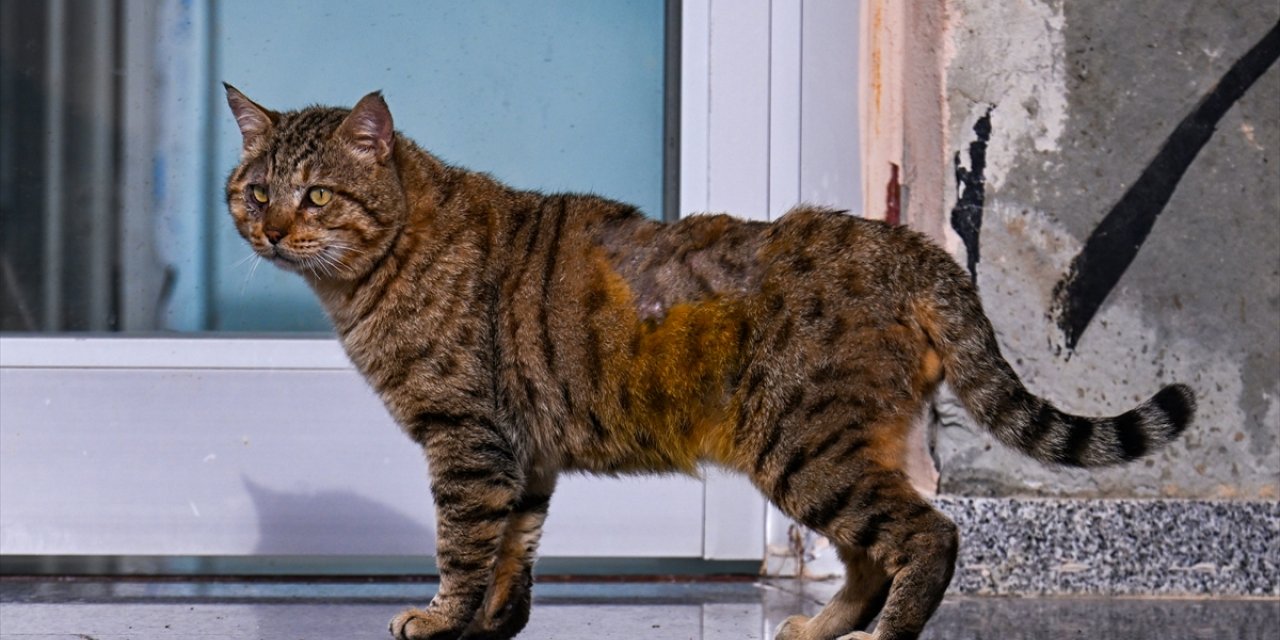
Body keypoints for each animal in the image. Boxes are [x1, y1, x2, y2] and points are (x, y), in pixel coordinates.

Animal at [225, 86, 1192, 640]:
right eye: (254, 191)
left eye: (317, 195)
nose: (269, 228)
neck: (378, 274)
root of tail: (910, 247)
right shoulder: (522, 454)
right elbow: (514, 550)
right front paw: (493, 625)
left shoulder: (469, 440)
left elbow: (465, 545)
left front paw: (440, 620)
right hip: (838, 448)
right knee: (872, 552)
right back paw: (821, 629)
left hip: (805, 446)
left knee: (927, 535)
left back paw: (881, 636)